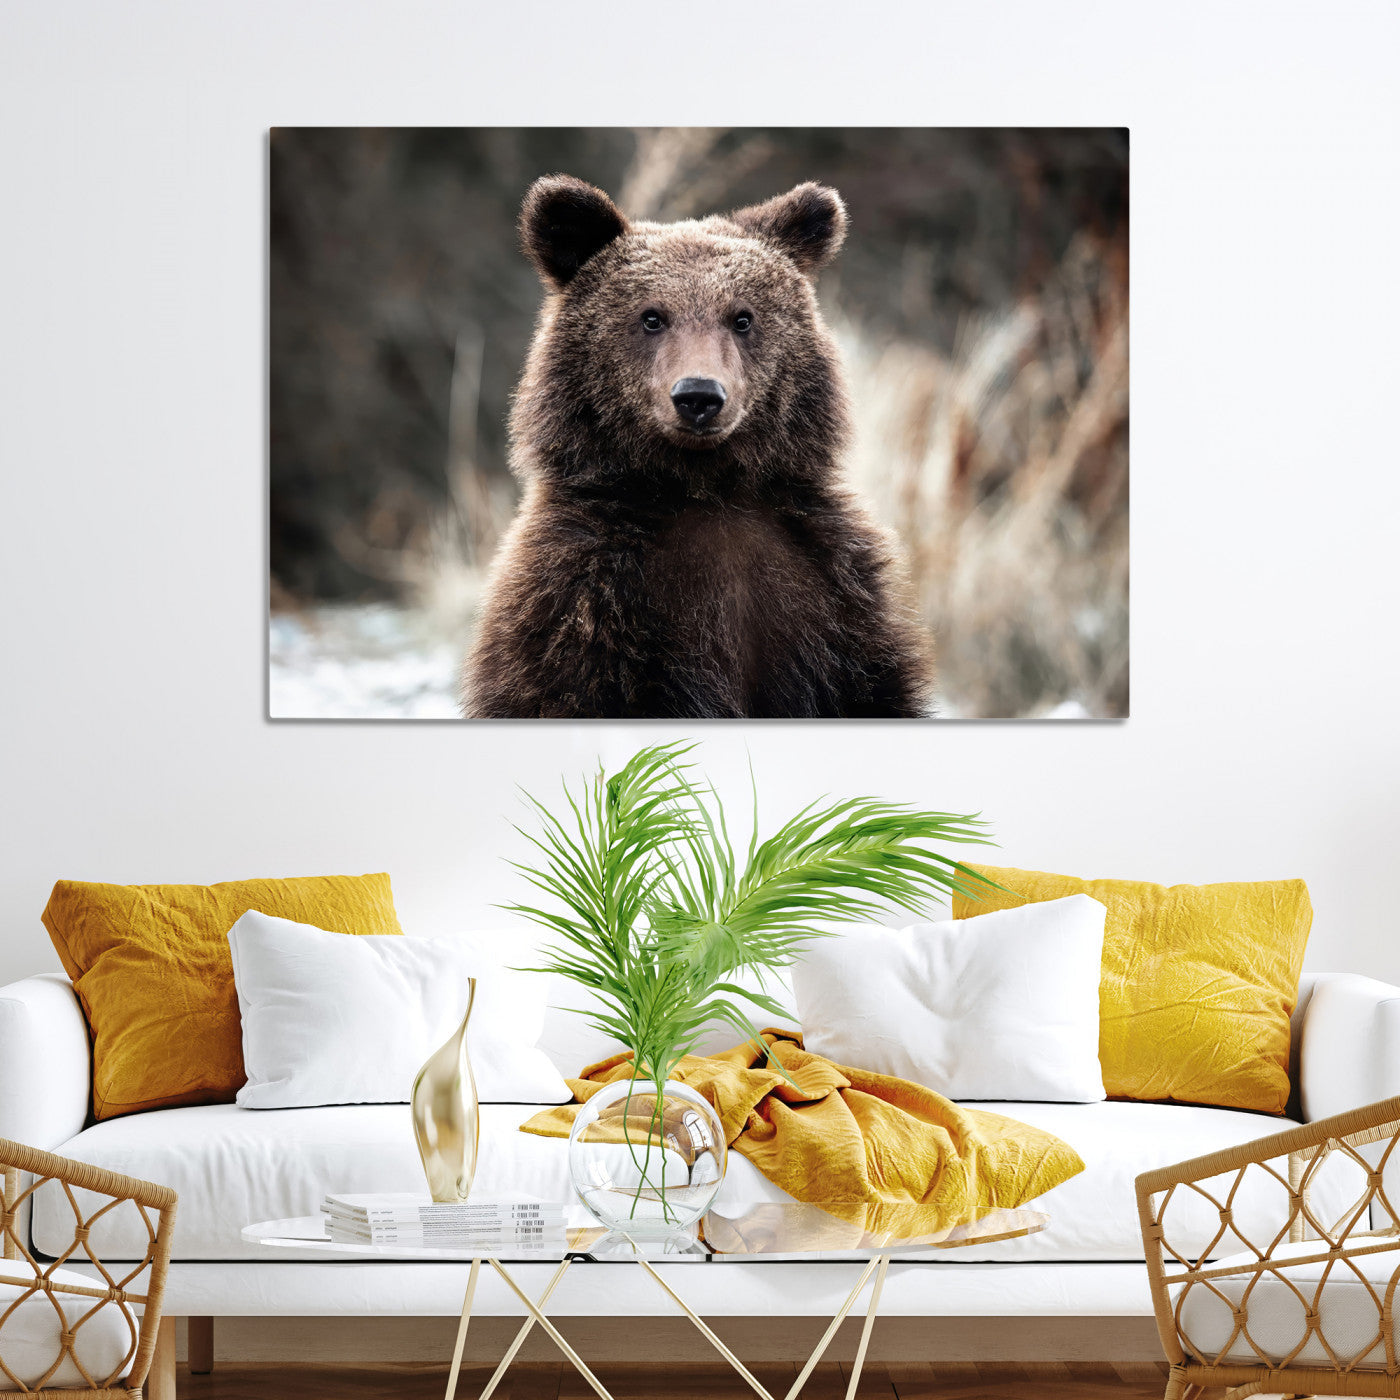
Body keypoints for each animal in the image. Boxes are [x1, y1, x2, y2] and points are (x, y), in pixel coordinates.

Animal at [462, 174, 933, 719]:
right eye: (651, 317)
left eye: (742, 318)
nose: (699, 396)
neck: (705, 489)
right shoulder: (582, 605)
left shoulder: (833, 598)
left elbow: (871, 688)